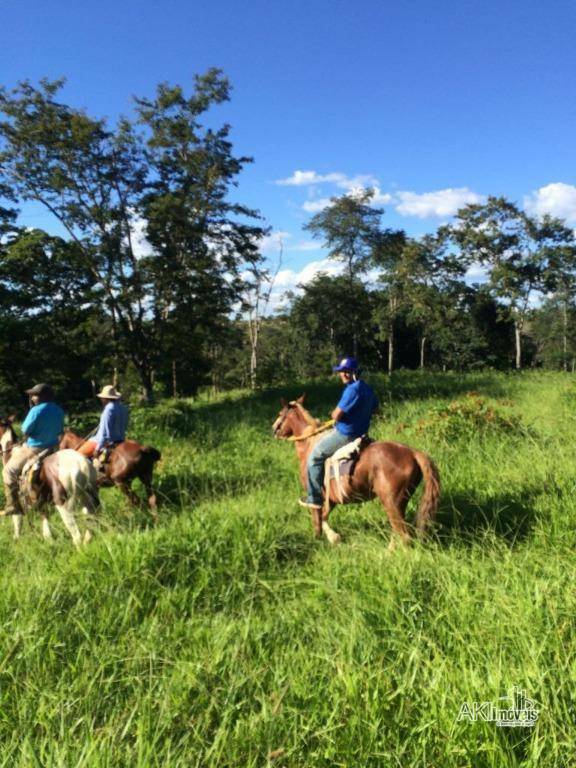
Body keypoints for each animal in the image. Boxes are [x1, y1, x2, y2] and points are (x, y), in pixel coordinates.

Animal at [272, 396, 438, 544]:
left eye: (280, 414)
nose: (274, 429)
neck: (309, 444)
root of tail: (413, 453)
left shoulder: (316, 494)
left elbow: (317, 518)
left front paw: (324, 538)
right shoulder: (332, 498)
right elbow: (324, 516)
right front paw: (333, 537)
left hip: (391, 502)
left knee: (403, 535)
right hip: (400, 502)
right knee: (397, 531)